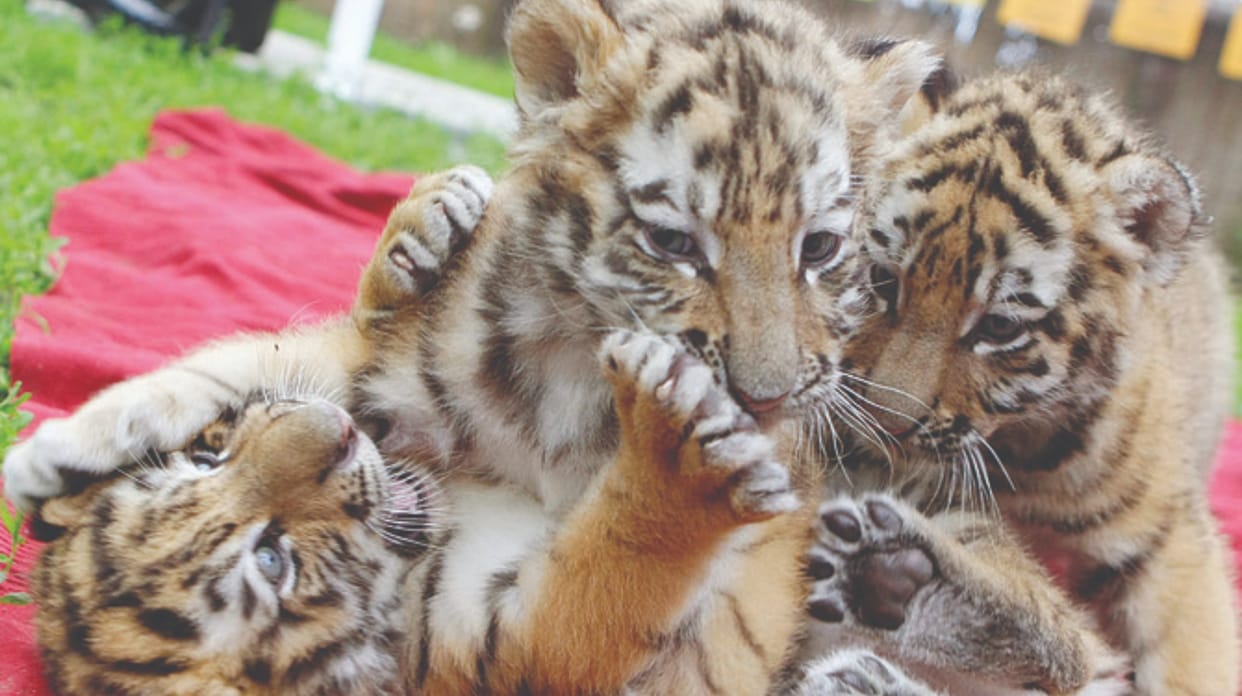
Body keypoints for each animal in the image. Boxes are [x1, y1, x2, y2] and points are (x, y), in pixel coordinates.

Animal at [5, 0, 949, 692]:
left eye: (818, 248)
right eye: (674, 243)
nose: (765, 400)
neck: (576, 375)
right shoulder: (388, 393)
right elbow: (246, 366)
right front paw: (62, 453)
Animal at [792, 71, 1239, 695]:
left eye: (1000, 327)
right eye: (883, 279)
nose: (884, 426)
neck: (1014, 448)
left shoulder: (1170, 540)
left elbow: (1196, 663)